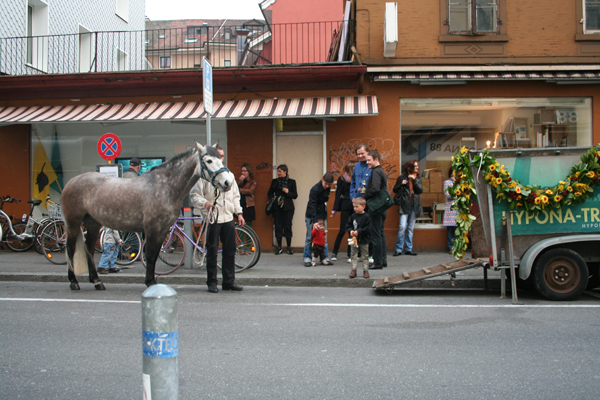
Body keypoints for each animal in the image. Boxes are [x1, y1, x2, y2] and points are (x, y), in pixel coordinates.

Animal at [62, 142, 233, 290]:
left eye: (220, 159)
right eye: (209, 160)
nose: (227, 182)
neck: (165, 187)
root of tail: (71, 181)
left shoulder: (163, 229)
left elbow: (156, 255)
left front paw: (152, 280)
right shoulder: (152, 228)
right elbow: (150, 255)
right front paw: (150, 282)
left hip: (93, 223)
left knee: (89, 248)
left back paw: (96, 281)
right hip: (73, 222)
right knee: (70, 248)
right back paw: (73, 281)